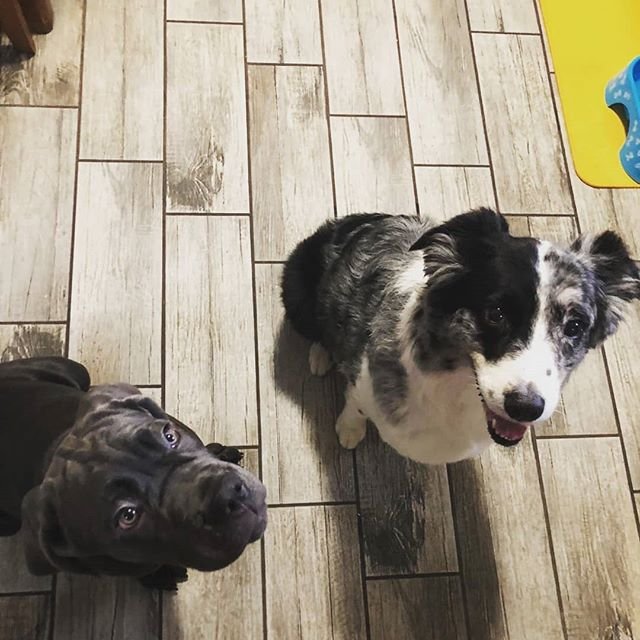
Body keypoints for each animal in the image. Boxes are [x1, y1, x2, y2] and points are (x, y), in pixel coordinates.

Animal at [282, 210, 636, 464]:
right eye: (496, 313)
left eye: (574, 327)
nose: (526, 407)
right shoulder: (362, 381)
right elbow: (354, 406)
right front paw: (349, 429)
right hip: (297, 290)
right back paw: (321, 354)